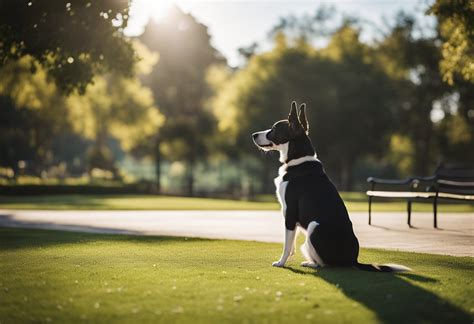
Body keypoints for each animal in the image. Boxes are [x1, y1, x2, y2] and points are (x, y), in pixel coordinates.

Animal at [252, 100, 412, 272]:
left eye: (274, 129)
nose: (253, 135)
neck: (298, 160)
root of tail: (353, 260)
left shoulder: (291, 212)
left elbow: (287, 244)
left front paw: (281, 262)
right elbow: (292, 242)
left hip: (314, 227)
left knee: (326, 264)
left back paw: (311, 263)